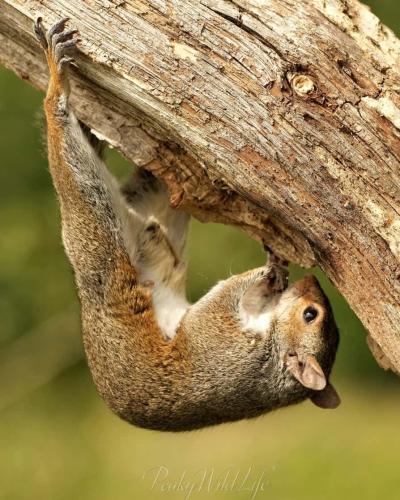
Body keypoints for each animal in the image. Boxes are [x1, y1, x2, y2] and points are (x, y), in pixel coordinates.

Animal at [35, 17, 340, 432]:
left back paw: (58, 86)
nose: (312, 281)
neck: (273, 357)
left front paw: (270, 272)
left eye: (312, 315)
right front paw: (276, 269)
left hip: (100, 242)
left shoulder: (224, 347)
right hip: (158, 208)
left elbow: (221, 300)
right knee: (159, 181)